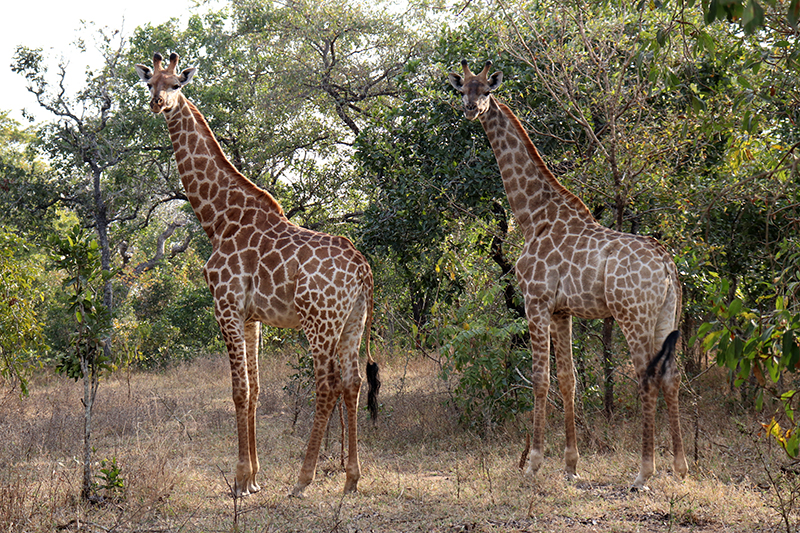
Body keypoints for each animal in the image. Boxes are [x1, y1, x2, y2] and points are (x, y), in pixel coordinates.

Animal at [135, 52, 382, 496]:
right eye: (150, 84)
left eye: (177, 84)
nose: (158, 103)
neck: (218, 219)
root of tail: (363, 270)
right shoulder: (252, 318)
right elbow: (255, 390)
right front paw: (253, 478)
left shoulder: (226, 306)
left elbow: (238, 390)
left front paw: (238, 478)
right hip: (353, 321)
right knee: (352, 382)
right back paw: (352, 478)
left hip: (319, 321)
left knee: (326, 385)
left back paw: (303, 479)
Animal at [450, 60, 688, 488]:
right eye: (463, 90)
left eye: (486, 90)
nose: (471, 109)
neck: (533, 217)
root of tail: (667, 264)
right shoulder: (563, 311)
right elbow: (568, 380)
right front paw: (571, 465)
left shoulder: (536, 301)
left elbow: (540, 378)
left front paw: (533, 463)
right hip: (666, 315)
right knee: (671, 376)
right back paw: (679, 466)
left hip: (632, 314)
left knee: (646, 375)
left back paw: (643, 472)